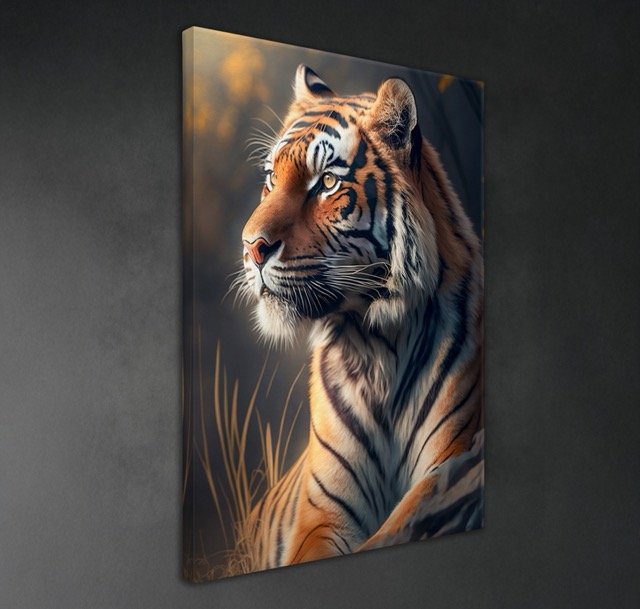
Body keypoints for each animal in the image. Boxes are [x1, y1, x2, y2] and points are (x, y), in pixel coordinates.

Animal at [235, 64, 483, 571]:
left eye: (327, 183)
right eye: (271, 178)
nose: (251, 248)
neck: (375, 342)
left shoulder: (446, 461)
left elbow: (400, 526)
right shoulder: (323, 514)